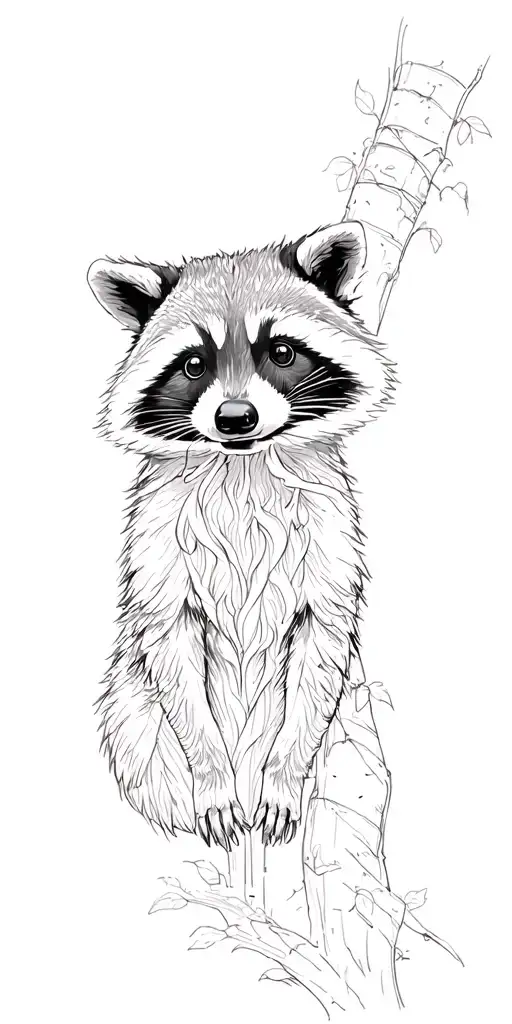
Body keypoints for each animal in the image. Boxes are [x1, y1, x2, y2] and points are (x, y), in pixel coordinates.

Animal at [88, 222, 394, 850]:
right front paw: (211, 778)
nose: (235, 418)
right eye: (193, 365)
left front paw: (283, 776)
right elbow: (173, 652)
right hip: (134, 718)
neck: (243, 464)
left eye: (280, 352)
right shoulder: (160, 551)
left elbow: (319, 651)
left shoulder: (329, 544)